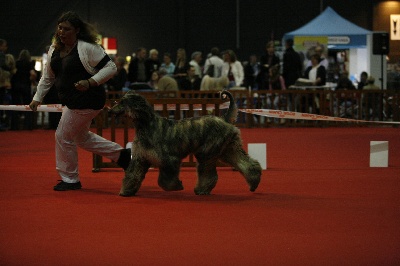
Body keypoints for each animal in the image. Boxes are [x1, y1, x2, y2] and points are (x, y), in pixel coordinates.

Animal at [109, 90, 262, 196]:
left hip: (207, 153)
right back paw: (254, 183)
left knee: (209, 174)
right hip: (228, 150)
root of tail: (224, 119)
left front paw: (177, 186)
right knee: (248, 164)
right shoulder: (140, 159)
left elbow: (165, 181)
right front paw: (126, 191)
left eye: (122, 102)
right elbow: (132, 175)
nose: (109, 110)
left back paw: (201, 189)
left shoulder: (170, 160)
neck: (146, 125)